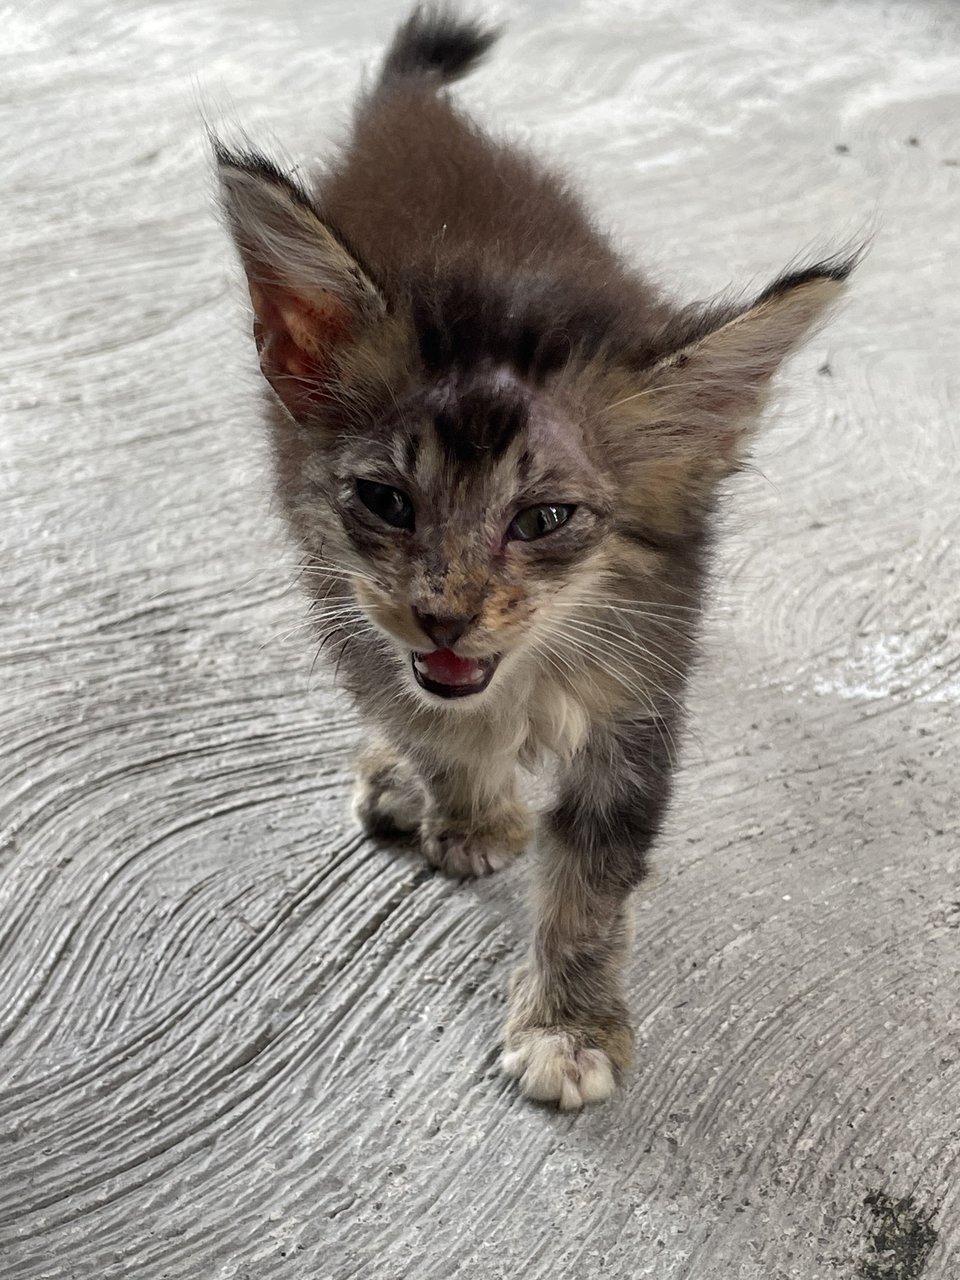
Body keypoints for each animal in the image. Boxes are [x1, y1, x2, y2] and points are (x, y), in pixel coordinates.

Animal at [213, 5, 855, 1105]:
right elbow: (433, 723)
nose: (444, 614)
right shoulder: (347, 594)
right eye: (386, 500)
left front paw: (569, 1019)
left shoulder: (642, 680)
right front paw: (472, 812)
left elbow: (595, 872)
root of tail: (415, 114)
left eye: (545, 519)